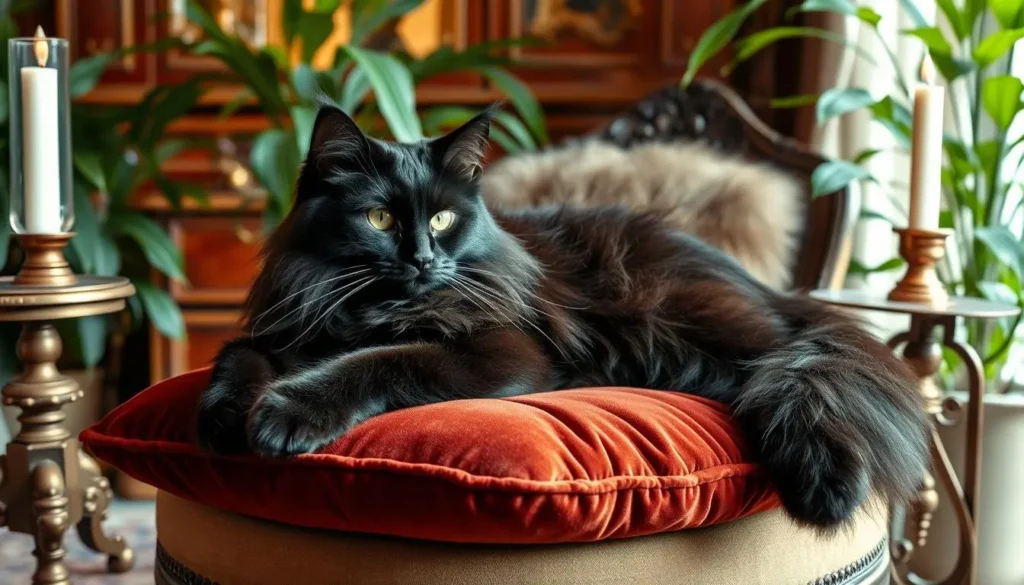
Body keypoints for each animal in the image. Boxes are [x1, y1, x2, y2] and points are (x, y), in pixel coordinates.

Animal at [195, 102, 933, 528]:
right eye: (378, 218)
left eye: (443, 218)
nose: (424, 260)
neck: (368, 306)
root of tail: (770, 291)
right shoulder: (289, 325)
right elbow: (237, 355)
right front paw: (224, 415)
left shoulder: (499, 349)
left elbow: (383, 358)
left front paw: (285, 414)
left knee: (781, 367)